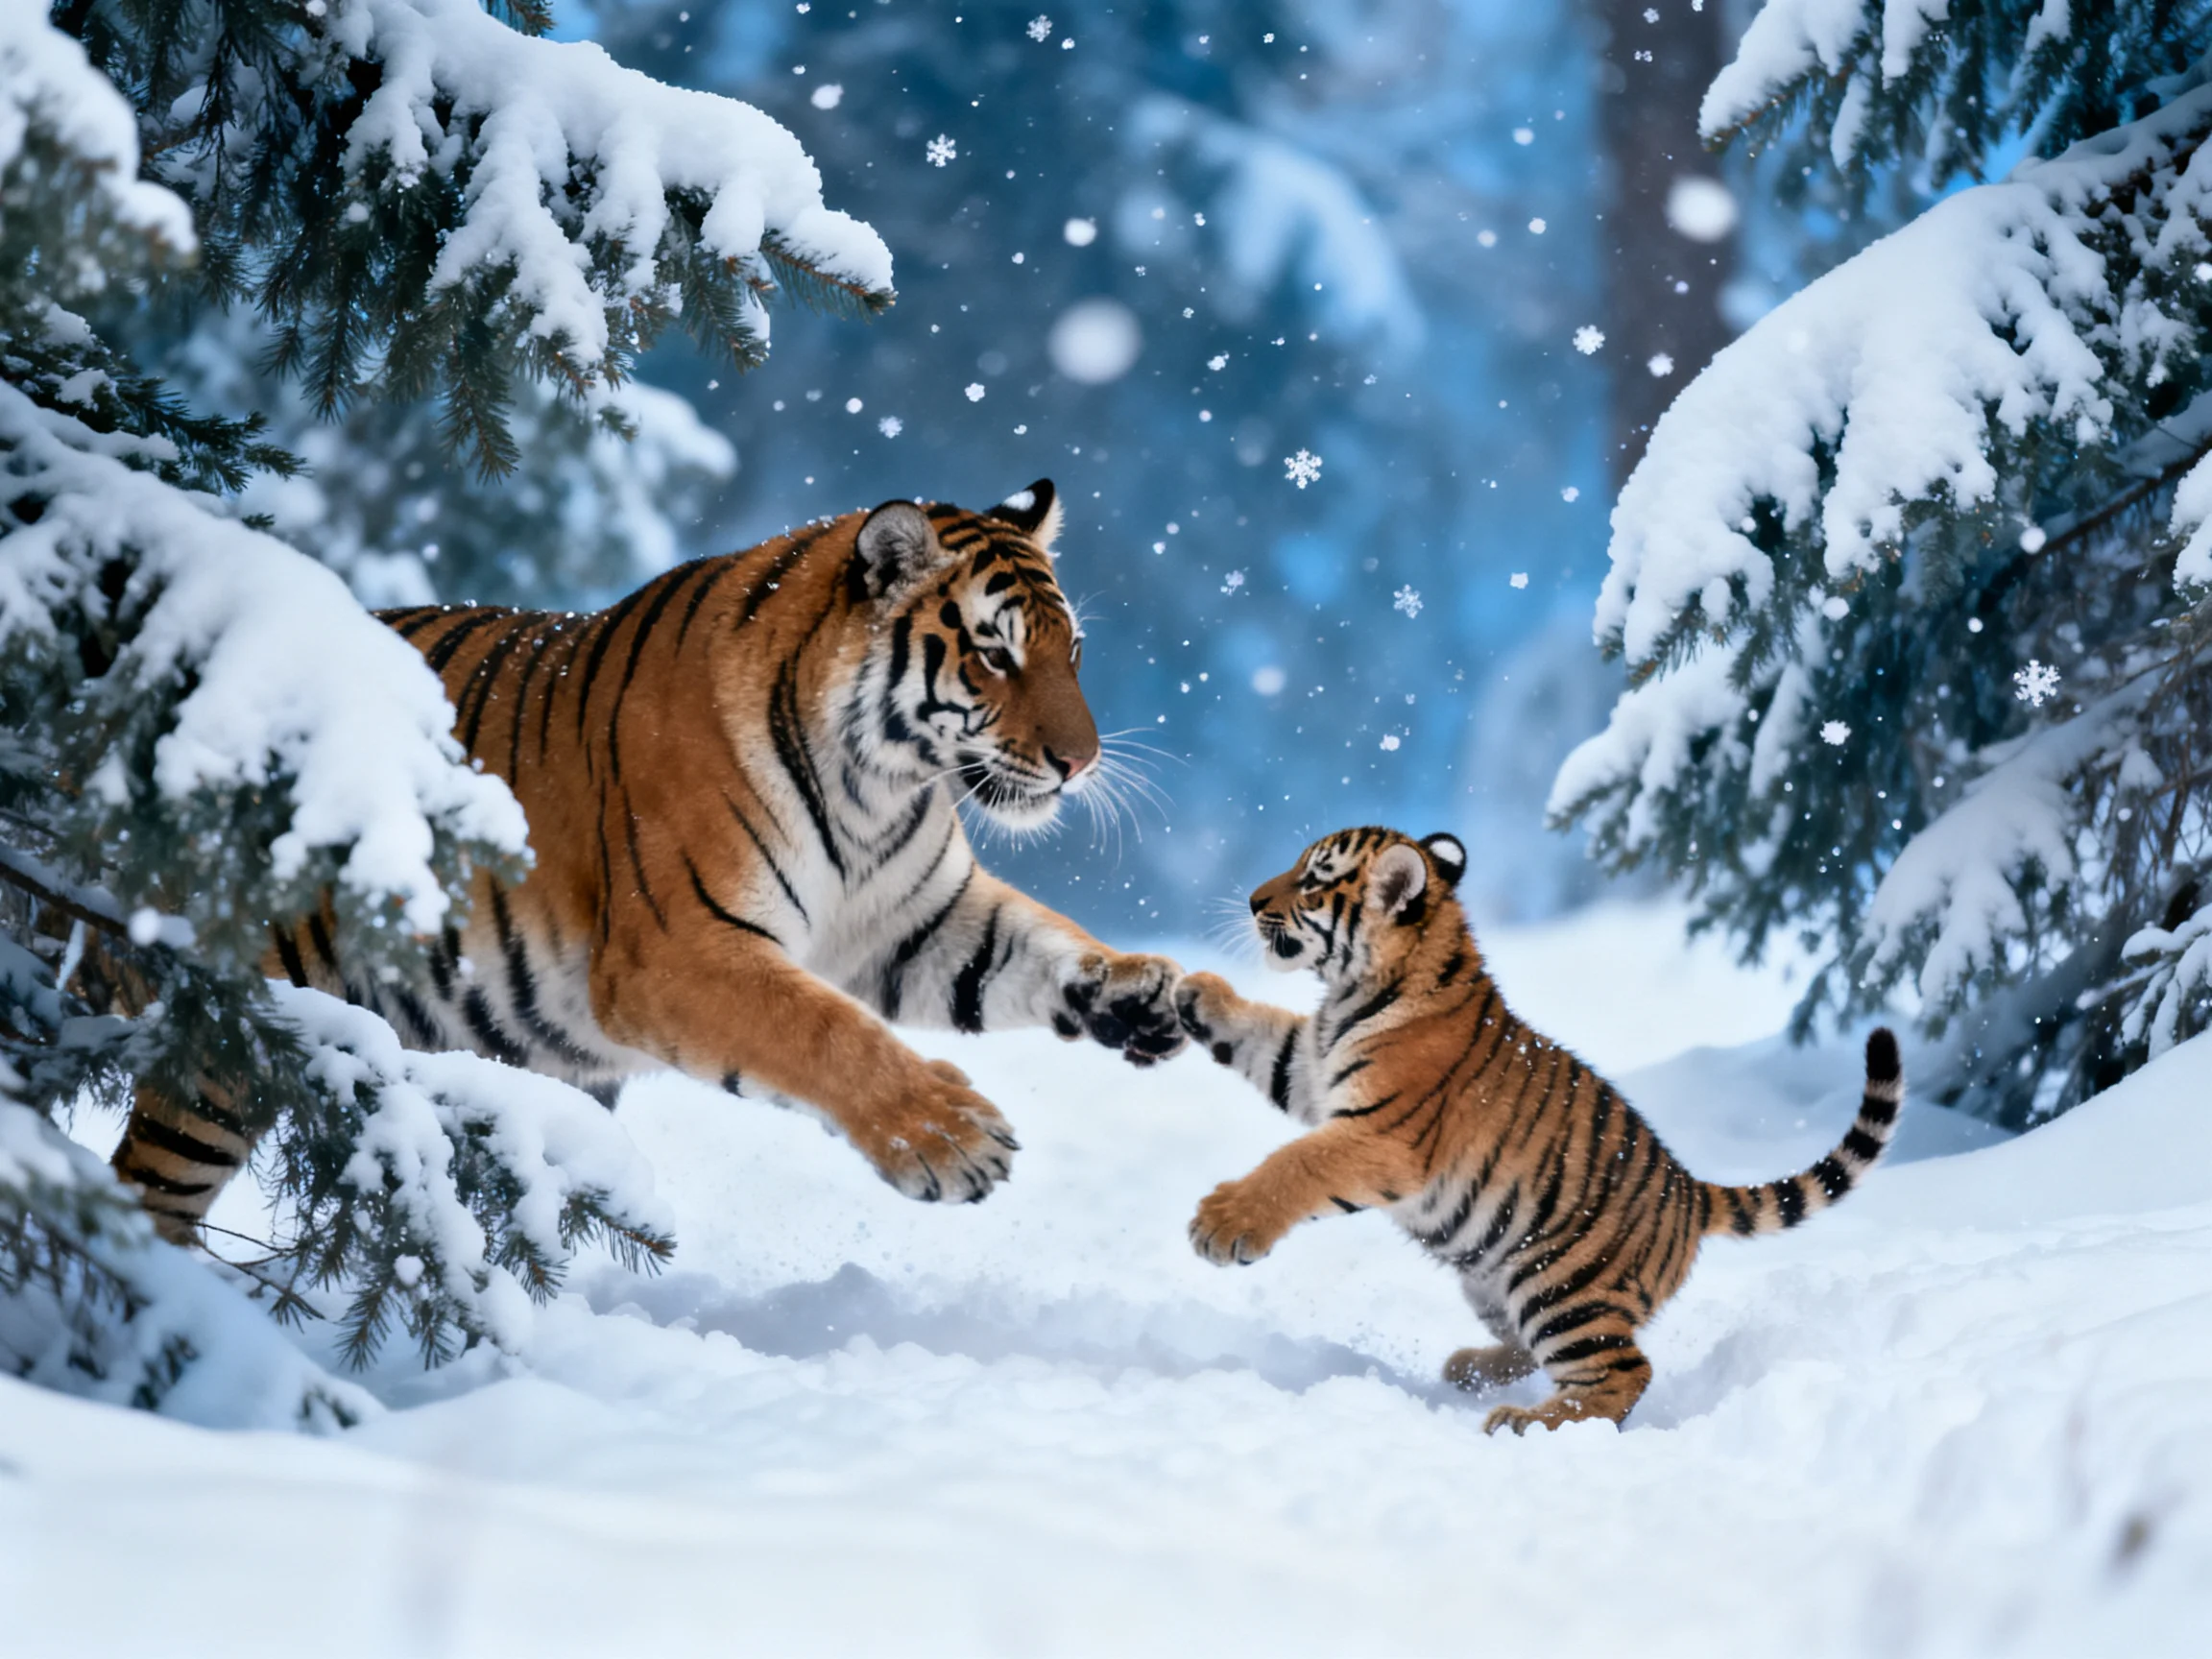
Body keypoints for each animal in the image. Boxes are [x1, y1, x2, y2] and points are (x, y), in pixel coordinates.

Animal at [109, 480, 1188, 1242]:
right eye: (996, 656)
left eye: (1072, 653)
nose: (1082, 761)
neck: (880, 786)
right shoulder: (677, 951)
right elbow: (821, 1031)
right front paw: (950, 1138)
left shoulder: (916, 924)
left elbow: (1035, 948)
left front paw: (1141, 991)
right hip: (225, 1043)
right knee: (142, 1202)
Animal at [1171, 825, 1903, 1435]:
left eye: (1314, 880)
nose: (1251, 899)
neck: (1357, 990)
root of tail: (1692, 1193)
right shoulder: (1311, 1070)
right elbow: (1266, 1036)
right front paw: (1195, 992)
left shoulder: (1381, 1135)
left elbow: (1295, 1164)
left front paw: (1222, 1225)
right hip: (1492, 1278)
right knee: (1536, 1350)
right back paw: (1468, 1368)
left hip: (1561, 1285)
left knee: (1622, 1372)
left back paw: (1530, 1423)